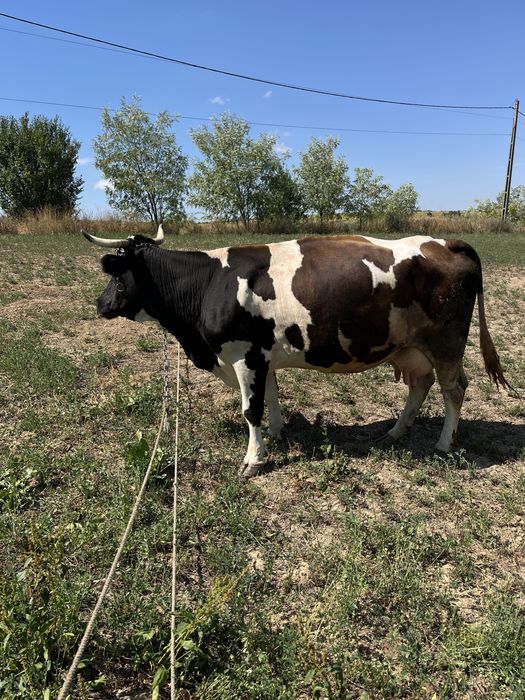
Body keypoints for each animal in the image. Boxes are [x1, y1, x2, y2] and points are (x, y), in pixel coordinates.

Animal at [83, 225, 513, 478]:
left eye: (116, 276)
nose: (99, 304)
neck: (210, 283)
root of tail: (447, 241)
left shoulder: (244, 355)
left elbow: (250, 409)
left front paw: (253, 459)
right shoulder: (262, 357)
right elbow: (271, 396)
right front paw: (276, 433)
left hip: (446, 343)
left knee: (454, 389)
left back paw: (443, 444)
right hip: (410, 347)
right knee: (420, 386)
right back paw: (395, 430)